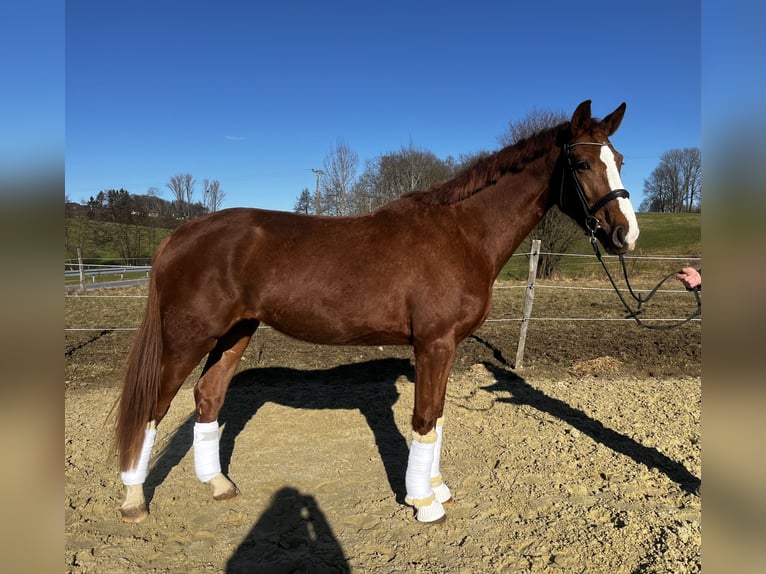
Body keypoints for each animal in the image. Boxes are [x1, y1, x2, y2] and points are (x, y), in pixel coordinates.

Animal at [114, 100, 640, 528]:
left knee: (207, 397)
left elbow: (439, 418)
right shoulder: (434, 343)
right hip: (187, 338)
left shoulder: (445, 348)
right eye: (581, 162)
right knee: (153, 408)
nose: (625, 235)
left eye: (618, 161)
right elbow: (424, 419)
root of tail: (180, 235)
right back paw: (134, 501)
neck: (461, 233)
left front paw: (437, 489)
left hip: (234, 333)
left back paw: (219, 485)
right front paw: (425, 504)